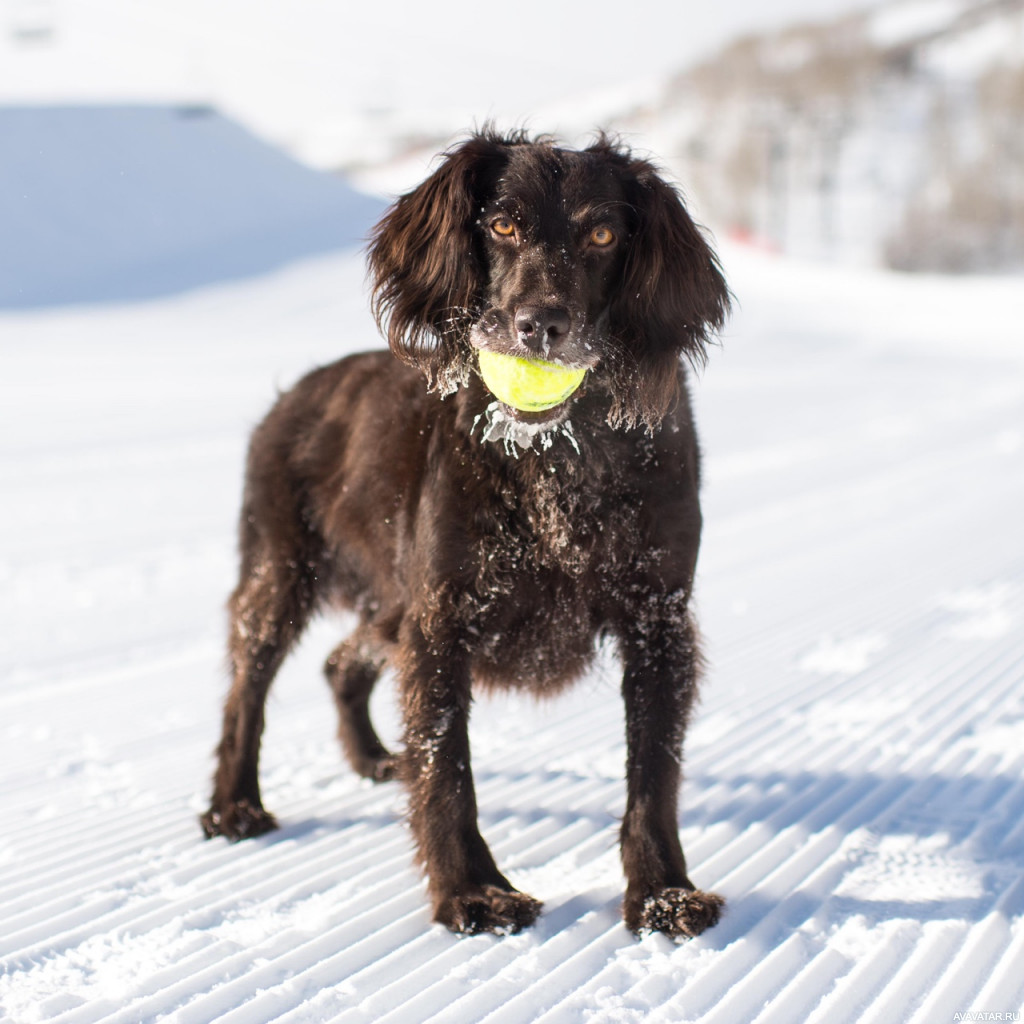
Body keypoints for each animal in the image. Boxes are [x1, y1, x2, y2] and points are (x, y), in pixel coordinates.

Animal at [199, 128, 729, 937]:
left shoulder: (658, 620)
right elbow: (448, 768)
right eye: (501, 224)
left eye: (603, 235)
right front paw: (474, 890)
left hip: (388, 599)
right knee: (246, 691)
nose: (541, 325)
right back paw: (235, 804)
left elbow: (654, 773)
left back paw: (373, 758)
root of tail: (292, 397)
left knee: (342, 663)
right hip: (281, 574)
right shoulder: (443, 619)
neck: (556, 460)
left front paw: (663, 891)